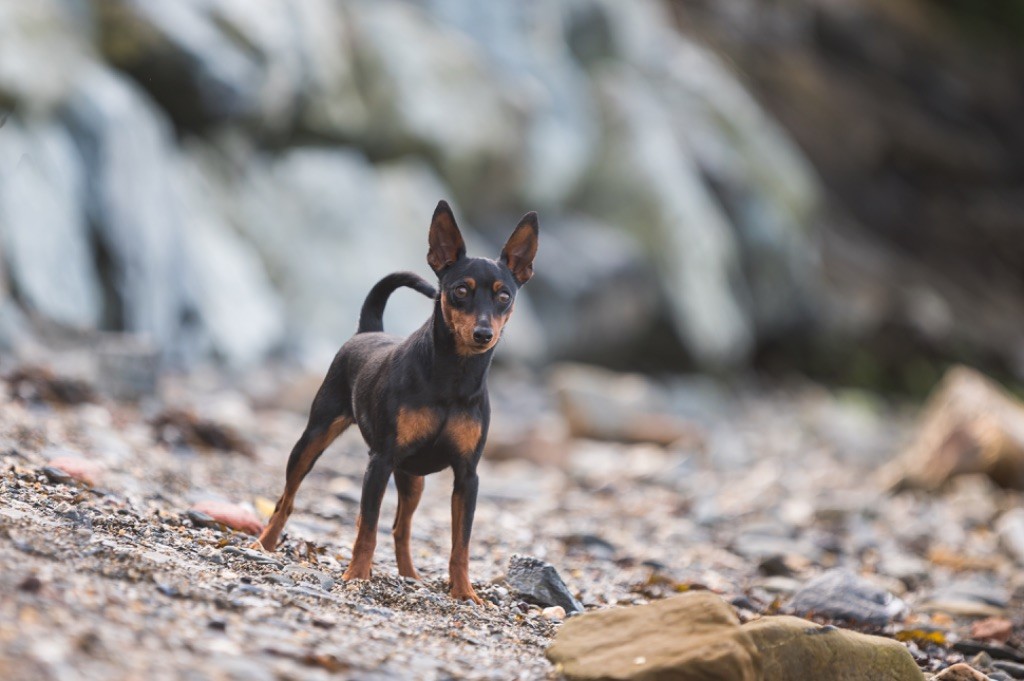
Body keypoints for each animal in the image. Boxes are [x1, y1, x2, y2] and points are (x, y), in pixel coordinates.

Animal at [252, 199, 540, 602]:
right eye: (460, 291)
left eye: (504, 297)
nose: (484, 333)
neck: (453, 377)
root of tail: (368, 331)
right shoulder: (380, 461)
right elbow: (367, 528)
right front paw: (357, 575)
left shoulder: (467, 476)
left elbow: (461, 544)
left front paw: (464, 592)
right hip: (314, 439)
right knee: (288, 499)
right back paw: (264, 544)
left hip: (412, 478)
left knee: (400, 528)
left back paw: (410, 576)